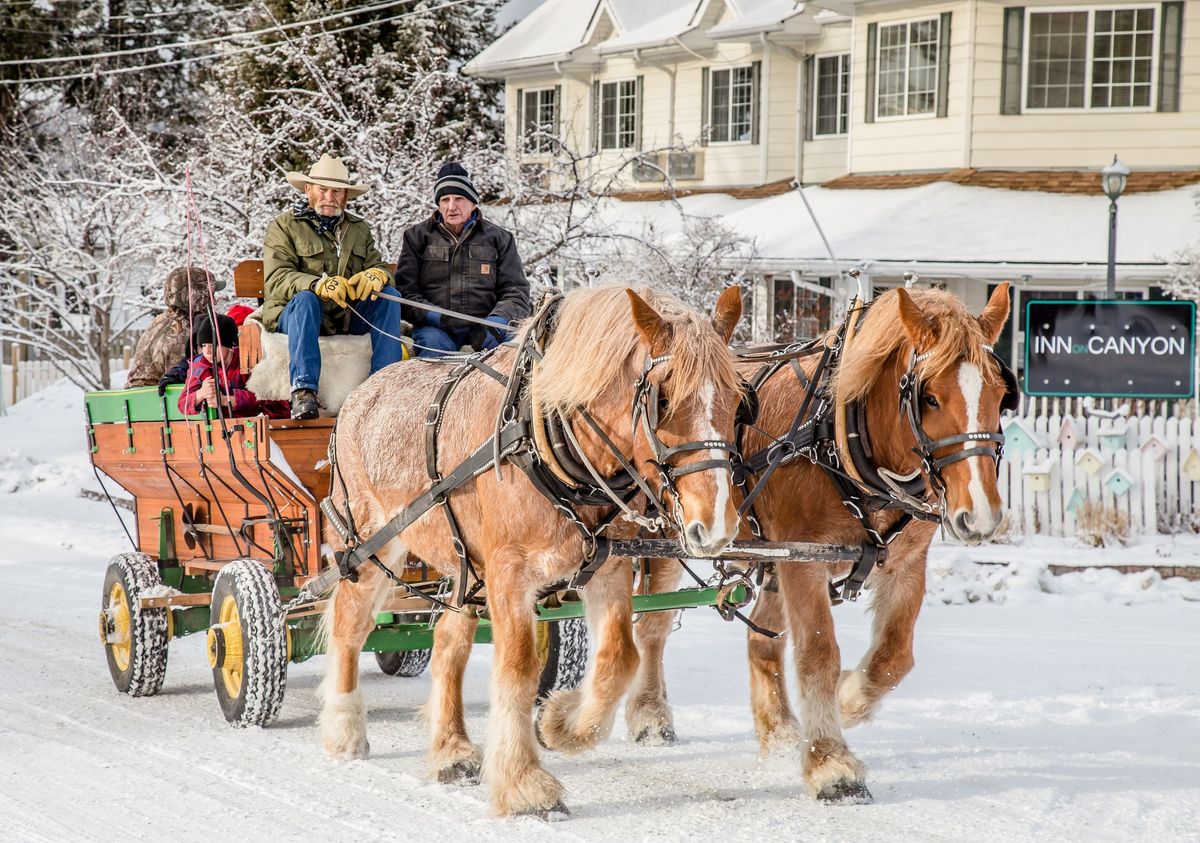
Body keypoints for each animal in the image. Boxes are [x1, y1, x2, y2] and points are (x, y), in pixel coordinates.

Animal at [314, 283, 744, 816]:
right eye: (662, 399)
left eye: (737, 397)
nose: (717, 523)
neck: (545, 439)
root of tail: (360, 394)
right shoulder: (509, 573)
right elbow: (518, 669)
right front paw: (524, 783)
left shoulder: (608, 566)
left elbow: (620, 658)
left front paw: (561, 723)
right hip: (371, 544)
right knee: (350, 625)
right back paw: (343, 729)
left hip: (465, 567)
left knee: (448, 644)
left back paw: (452, 750)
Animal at [624, 283, 1017, 806]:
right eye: (930, 397)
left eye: (999, 395)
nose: (981, 515)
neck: (841, 438)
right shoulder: (804, 561)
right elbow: (817, 654)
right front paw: (832, 762)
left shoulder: (905, 564)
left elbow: (895, 656)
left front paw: (849, 701)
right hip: (669, 536)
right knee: (652, 628)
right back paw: (650, 716)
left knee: (761, 640)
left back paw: (780, 731)